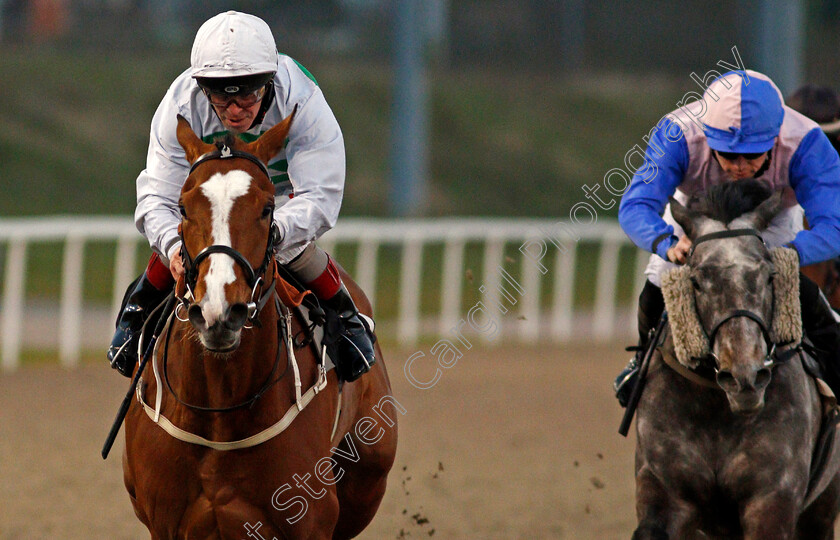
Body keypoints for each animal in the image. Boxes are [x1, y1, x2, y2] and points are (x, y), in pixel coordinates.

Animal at [123, 110, 398, 540]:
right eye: (183, 207)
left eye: (268, 208)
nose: (219, 311)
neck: (220, 411)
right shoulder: (165, 522)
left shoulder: (310, 519)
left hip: (367, 478)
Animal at [632, 188, 840, 536]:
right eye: (696, 281)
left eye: (770, 277)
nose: (746, 377)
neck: (718, 409)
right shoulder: (666, 491)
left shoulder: (771, 500)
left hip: (823, 505)